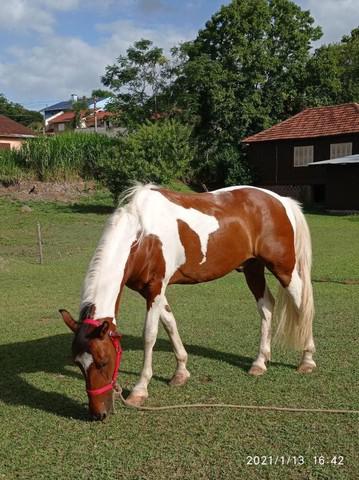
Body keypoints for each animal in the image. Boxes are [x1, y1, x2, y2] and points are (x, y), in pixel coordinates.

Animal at [60, 184, 316, 420]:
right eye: (78, 363)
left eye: (103, 362)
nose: (99, 413)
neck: (142, 235)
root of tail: (281, 201)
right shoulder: (150, 290)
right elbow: (170, 323)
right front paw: (181, 372)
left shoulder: (155, 288)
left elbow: (150, 334)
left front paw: (140, 390)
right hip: (253, 268)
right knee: (266, 306)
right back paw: (260, 362)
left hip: (284, 269)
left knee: (302, 307)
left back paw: (307, 360)